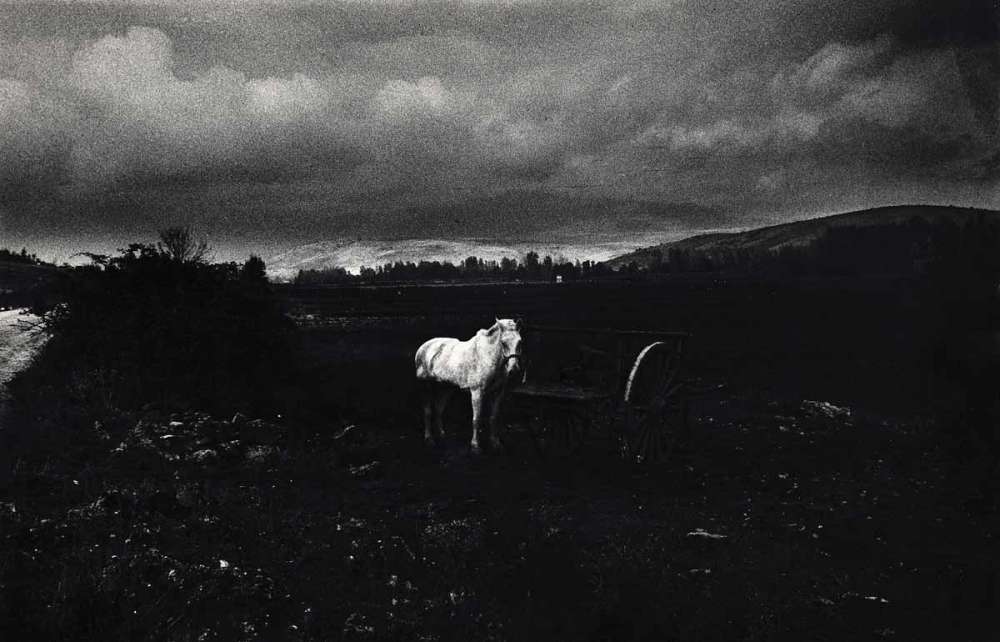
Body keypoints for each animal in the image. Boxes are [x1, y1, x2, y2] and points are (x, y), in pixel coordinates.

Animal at [414, 318, 524, 452]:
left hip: (445, 388)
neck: (487, 357)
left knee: (439, 409)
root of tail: (423, 347)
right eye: (503, 343)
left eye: (520, 342)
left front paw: (495, 442)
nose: (514, 369)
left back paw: (441, 434)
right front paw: (475, 445)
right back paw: (429, 439)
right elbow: (476, 419)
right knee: (427, 411)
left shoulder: (498, 393)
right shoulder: (477, 392)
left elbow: (493, 417)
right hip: (425, 386)